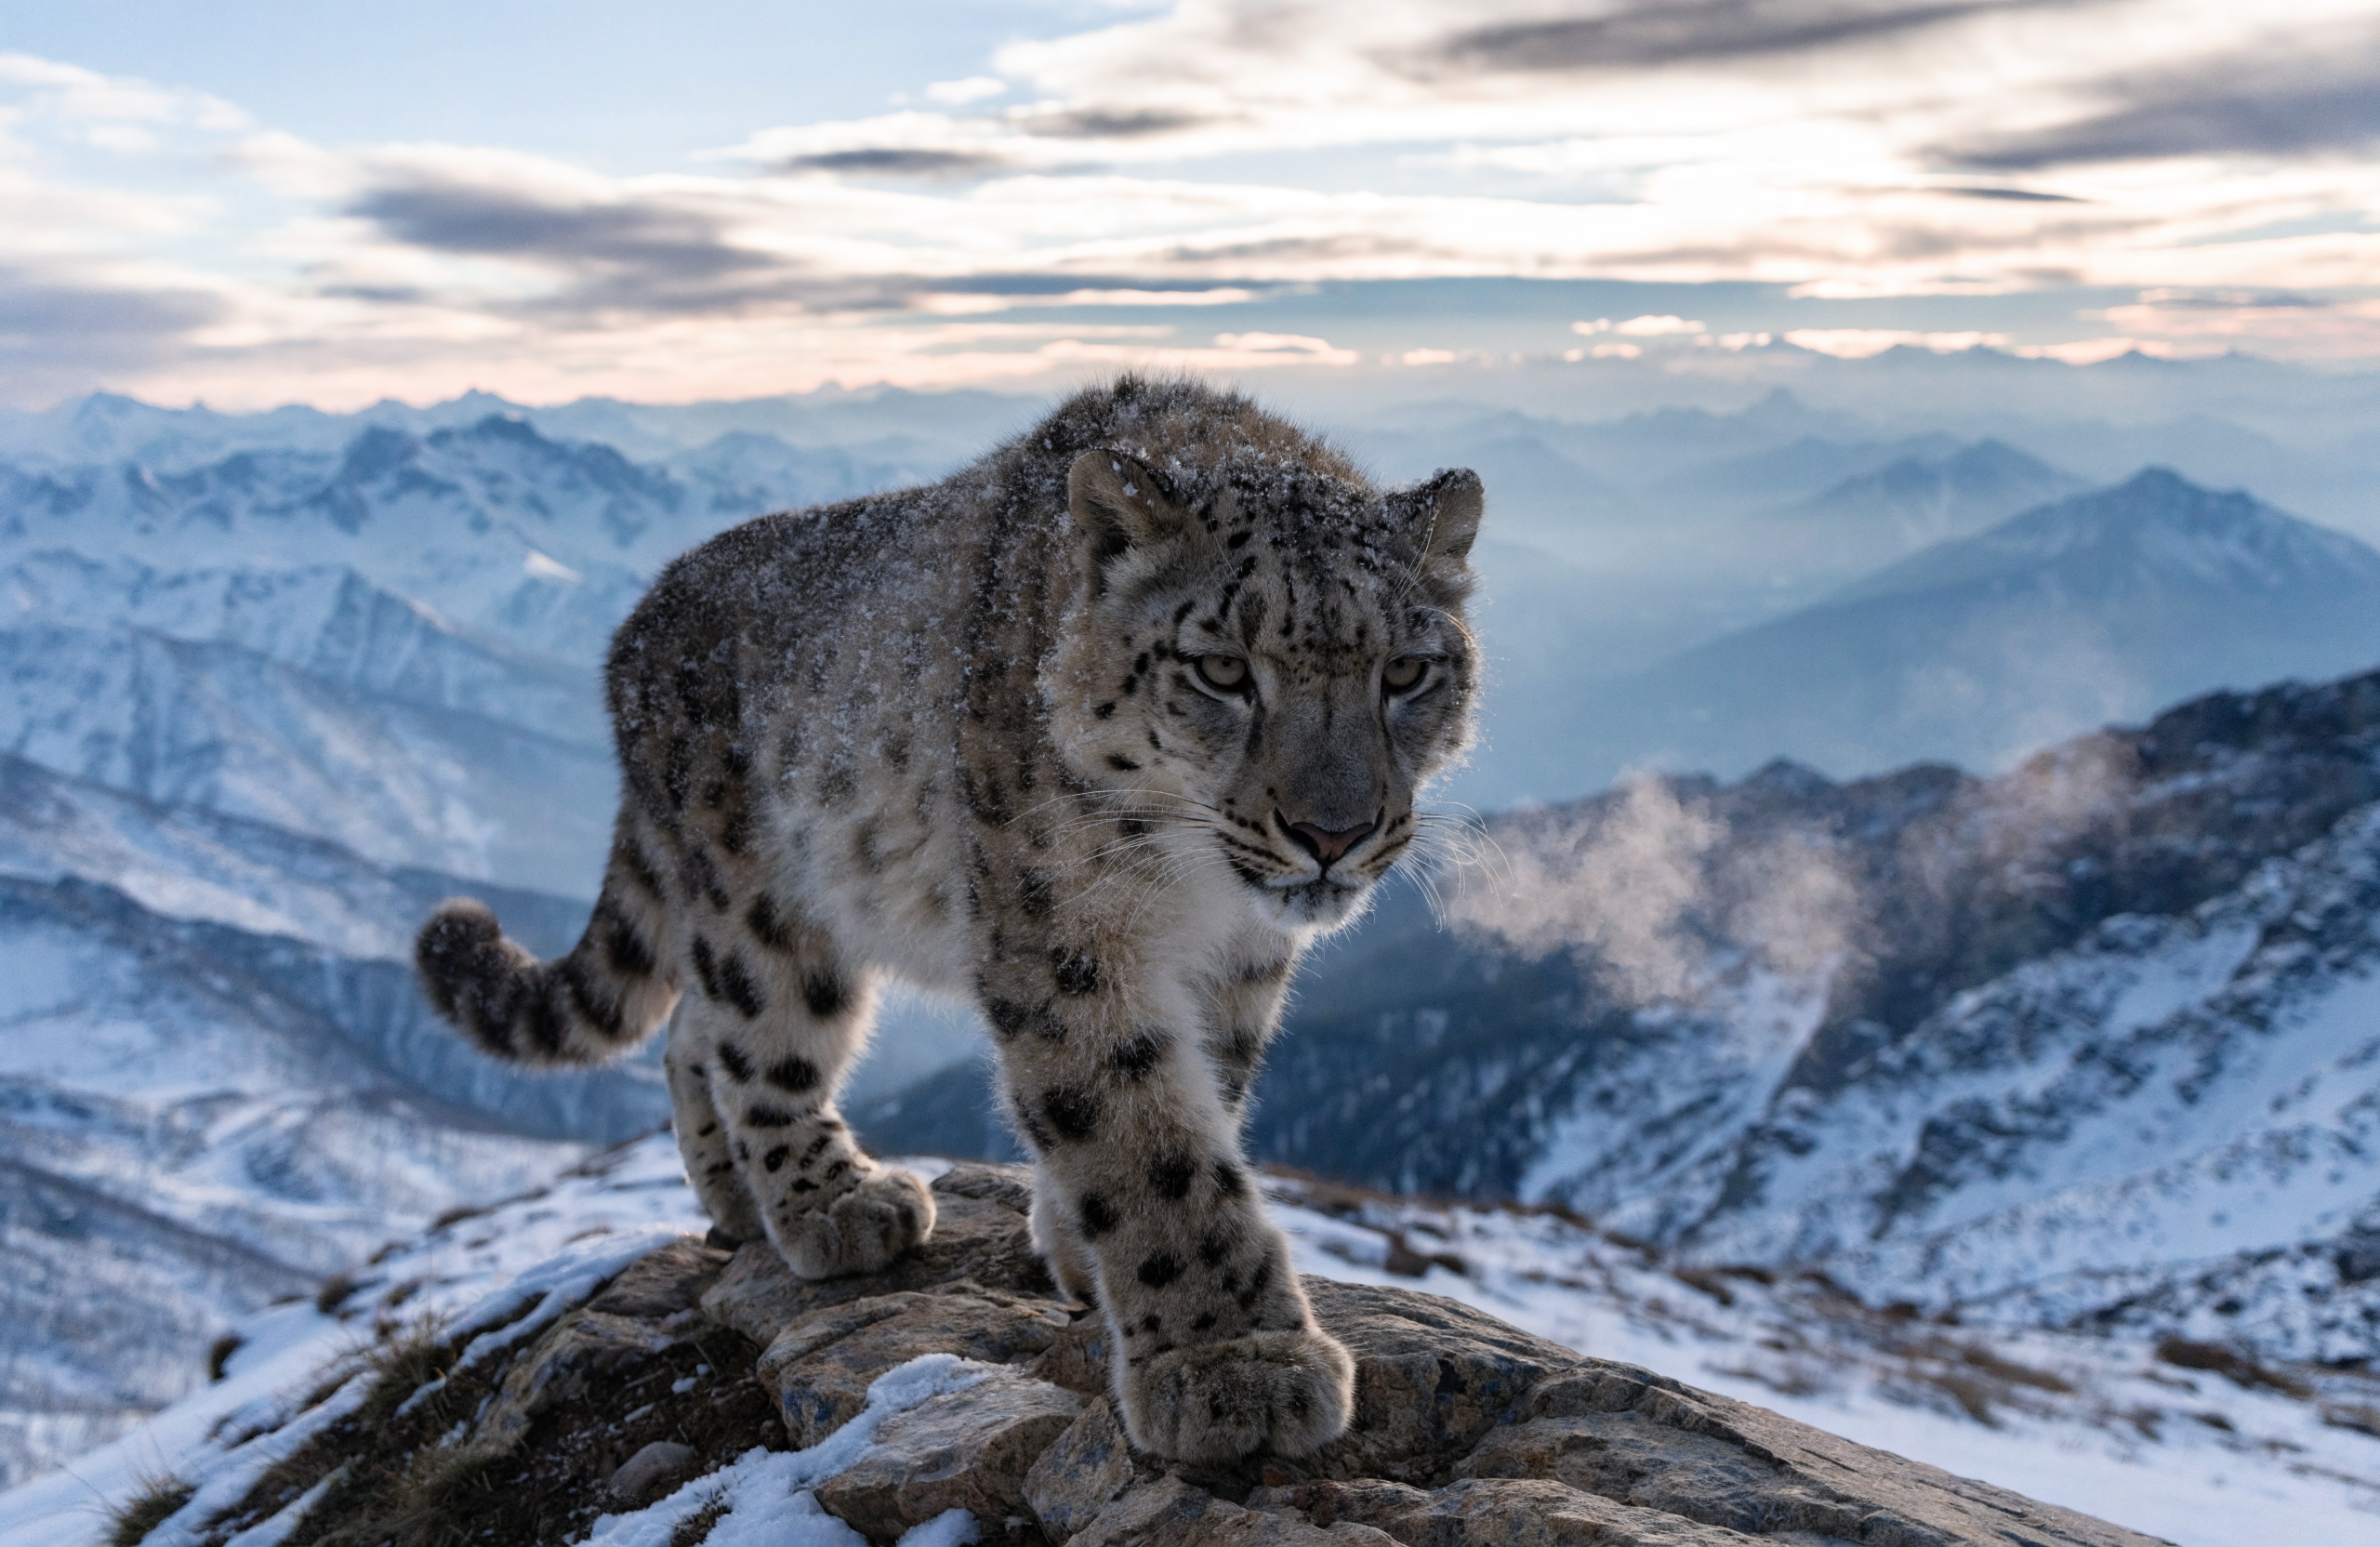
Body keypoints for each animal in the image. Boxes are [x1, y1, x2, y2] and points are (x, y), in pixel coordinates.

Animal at [414, 374, 1483, 1463]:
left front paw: (1082, 1249)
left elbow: (1206, 1092)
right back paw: (835, 1201)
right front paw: (1234, 1362)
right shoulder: (1061, 937)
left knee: (689, 1031)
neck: (1195, 896)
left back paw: (736, 1196)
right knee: (755, 1030)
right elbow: (1144, 1135)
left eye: (1405, 672)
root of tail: (632, 629)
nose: (1333, 832)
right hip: (762, 899)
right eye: (1221, 668)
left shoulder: (1240, 963)